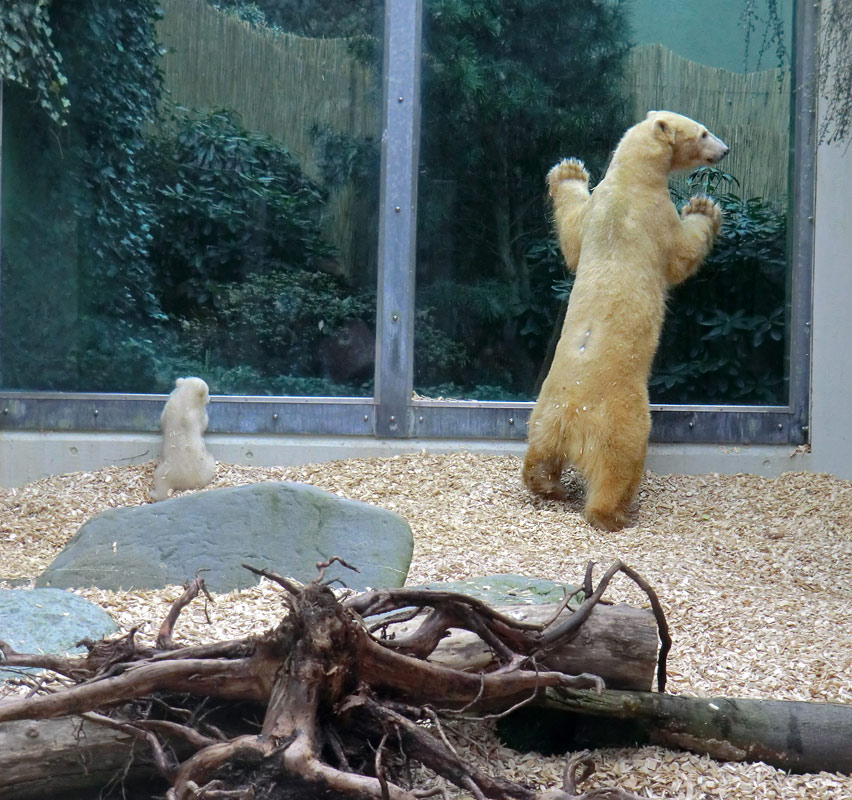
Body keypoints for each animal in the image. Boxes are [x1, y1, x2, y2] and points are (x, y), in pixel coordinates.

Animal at [524, 108, 728, 532]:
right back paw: (613, 514)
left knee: (540, 454)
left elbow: (572, 237)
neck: (630, 181)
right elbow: (681, 255)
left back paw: (549, 486)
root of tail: (573, 417)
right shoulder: (656, 216)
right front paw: (703, 207)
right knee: (620, 462)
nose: (725, 149)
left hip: (545, 408)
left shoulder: (597, 209)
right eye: (703, 132)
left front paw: (568, 170)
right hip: (620, 415)